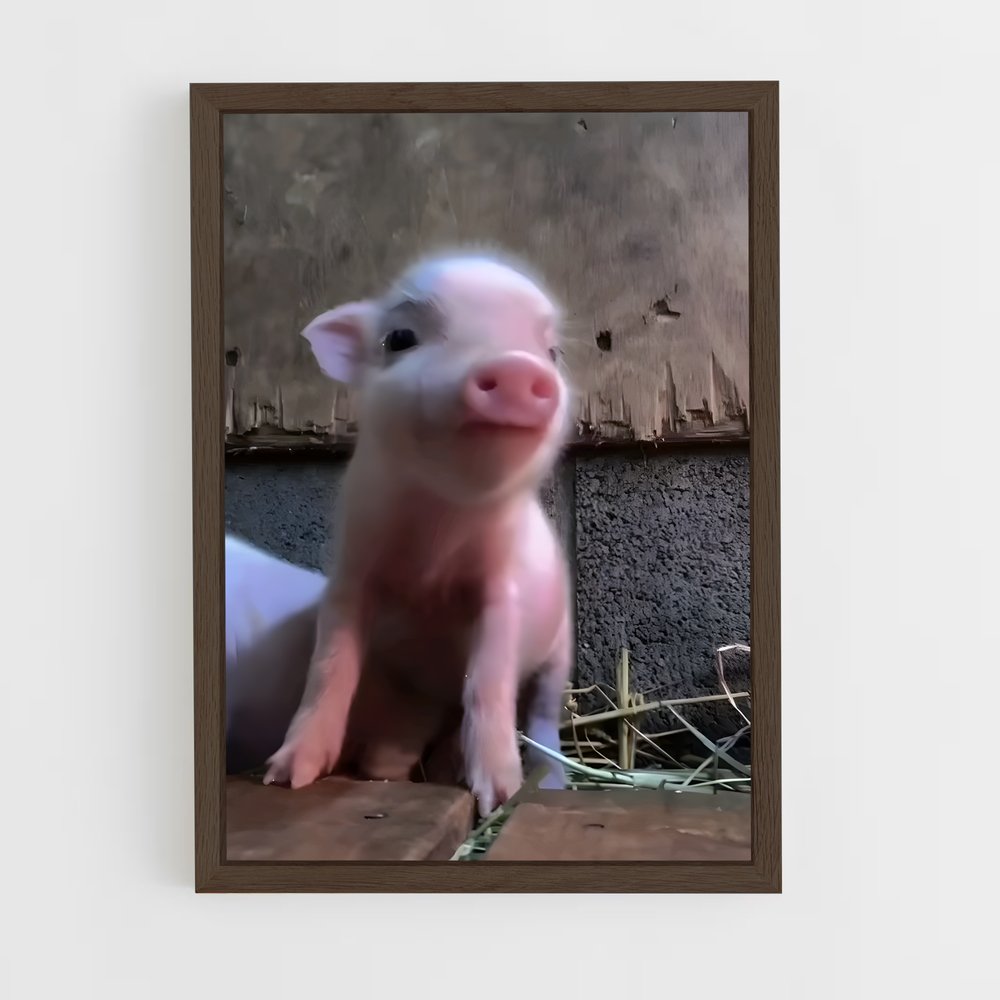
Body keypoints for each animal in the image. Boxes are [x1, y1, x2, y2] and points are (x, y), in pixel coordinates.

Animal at [263, 250, 574, 816]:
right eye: (399, 338)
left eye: (552, 352)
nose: (517, 368)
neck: (436, 537)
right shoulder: (351, 573)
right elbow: (329, 666)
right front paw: (285, 777)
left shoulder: (503, 591)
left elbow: (489, 680)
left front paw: (498, 795)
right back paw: (391, 771)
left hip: (561, 647)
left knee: (541, 716)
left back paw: (548, 783)